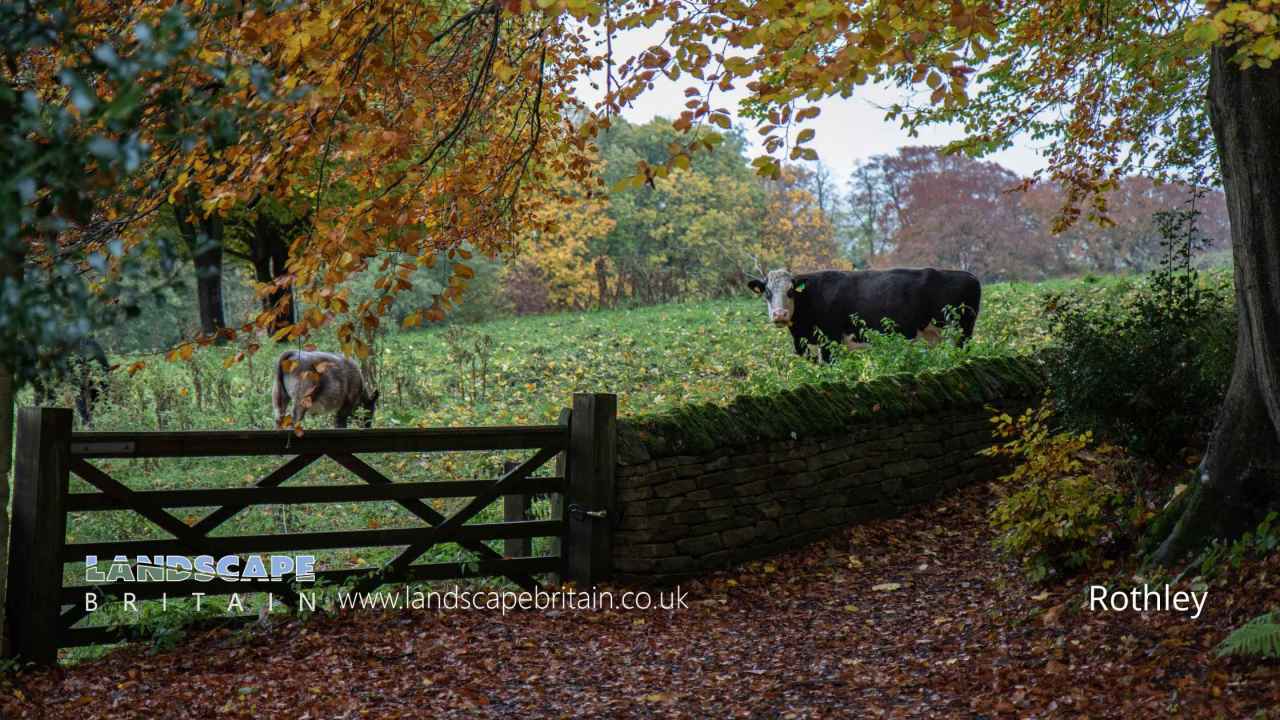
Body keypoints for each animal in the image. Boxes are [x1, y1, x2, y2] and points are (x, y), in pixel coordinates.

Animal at [747, 266, 983, 358]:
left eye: (790, 291)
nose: (779, 315)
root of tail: (969, 275)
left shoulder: (831, 342)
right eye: (767, 292)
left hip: (960, 333)